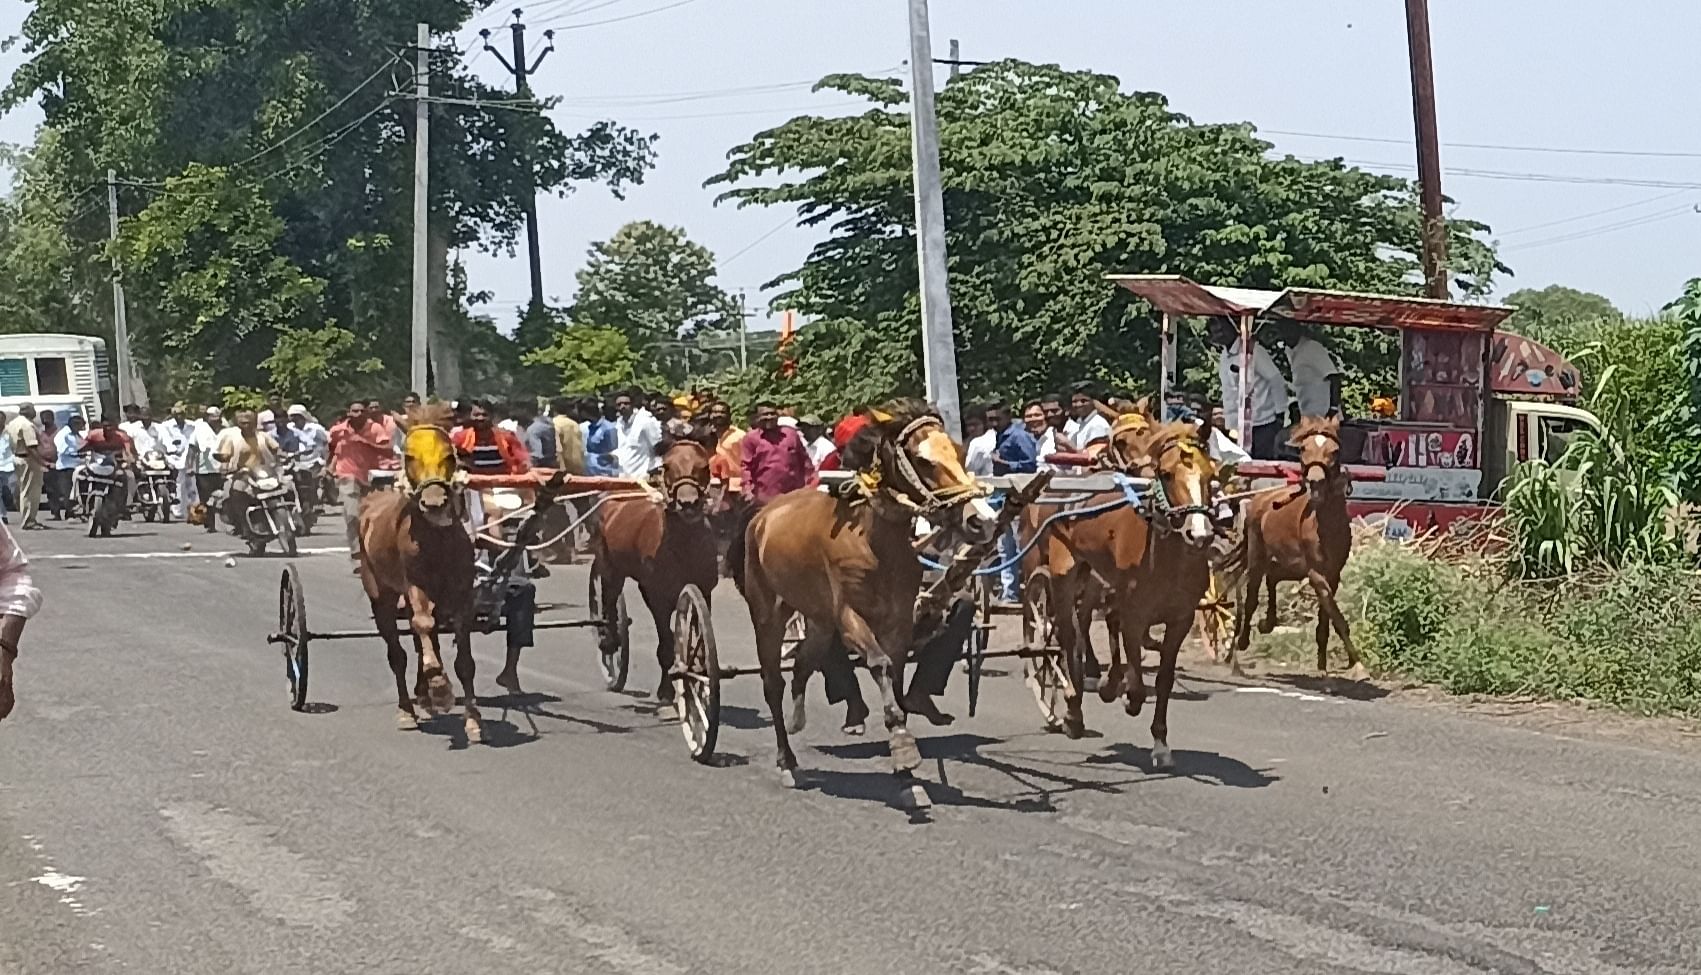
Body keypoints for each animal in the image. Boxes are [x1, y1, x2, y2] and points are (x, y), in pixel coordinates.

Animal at [355, 401, 483, 738]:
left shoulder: (461, 592)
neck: (435, 541)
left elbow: (464, 660)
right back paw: (408, 708)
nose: (435, 502)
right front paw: (438, 686)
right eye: (410, 456)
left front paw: (473, 718)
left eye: (450, 456)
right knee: (397, 651)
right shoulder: (415, 585)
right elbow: (422, 625)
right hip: (380, 593)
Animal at [591, 425, 717, 701]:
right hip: (609, 566)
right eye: (667, 466)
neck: (684, 544)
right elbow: (666, 643)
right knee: (609, 598)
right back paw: (609, 639)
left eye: (703, 466)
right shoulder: (658, 594)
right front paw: (666, 689)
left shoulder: (703, 589)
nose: (688, 503)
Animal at [731, 399, 993, 809]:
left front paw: (906, 779)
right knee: (773, 682)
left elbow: (895, 680)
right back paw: (786, 761)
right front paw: (902, 748)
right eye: (923, 460)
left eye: (958, 450)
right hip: (768, 613)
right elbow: (879, 665)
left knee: (804, 664)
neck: (873, 540)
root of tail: (761, 516)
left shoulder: (898, 622)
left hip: (819, 620)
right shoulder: (850, 617)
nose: (981, 520)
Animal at [1027, 420, 1217, 769]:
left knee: (1086, 619)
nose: (1199, 533)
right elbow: (1138, 682)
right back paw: (1073, 708)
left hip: (1097, 580)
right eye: (1166, 474)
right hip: (1064, 573)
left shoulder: (1180, 619)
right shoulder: (1135, 614)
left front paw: (1160, 743)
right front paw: (1126, 696)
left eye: (1209, 473)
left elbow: (1164, 680)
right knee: (1066, 635)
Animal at [1224, 416, 1367, 677]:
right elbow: (1336, 615)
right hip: (1258, 555)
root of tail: (1261, 498)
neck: (1326, 526)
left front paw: (1322, 664)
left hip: (1292, 566)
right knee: (1251, 597)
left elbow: (1327, 617)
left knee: (1272, 577)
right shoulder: (1316, 573)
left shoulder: (1333, 574)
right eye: (1303, 449)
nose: (1316, 481)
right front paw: (1357, 664)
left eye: (1334, 451)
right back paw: (1242, 642)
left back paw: (1268, 622)